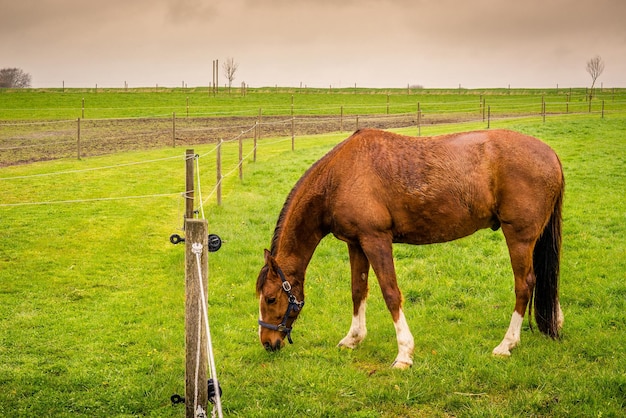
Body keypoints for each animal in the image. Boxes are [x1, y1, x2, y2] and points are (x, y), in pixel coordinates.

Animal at [254, 128, 560, 370]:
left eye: (270, 298)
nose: (268, 342)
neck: (339, 177)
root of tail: (551, 155)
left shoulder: (376, 240)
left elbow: (391, 294)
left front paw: (404, 353)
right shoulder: (356, 244)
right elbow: (357, 291)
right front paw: (353, 339)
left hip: (518, 237)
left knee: (524, 285)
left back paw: (506, 345)